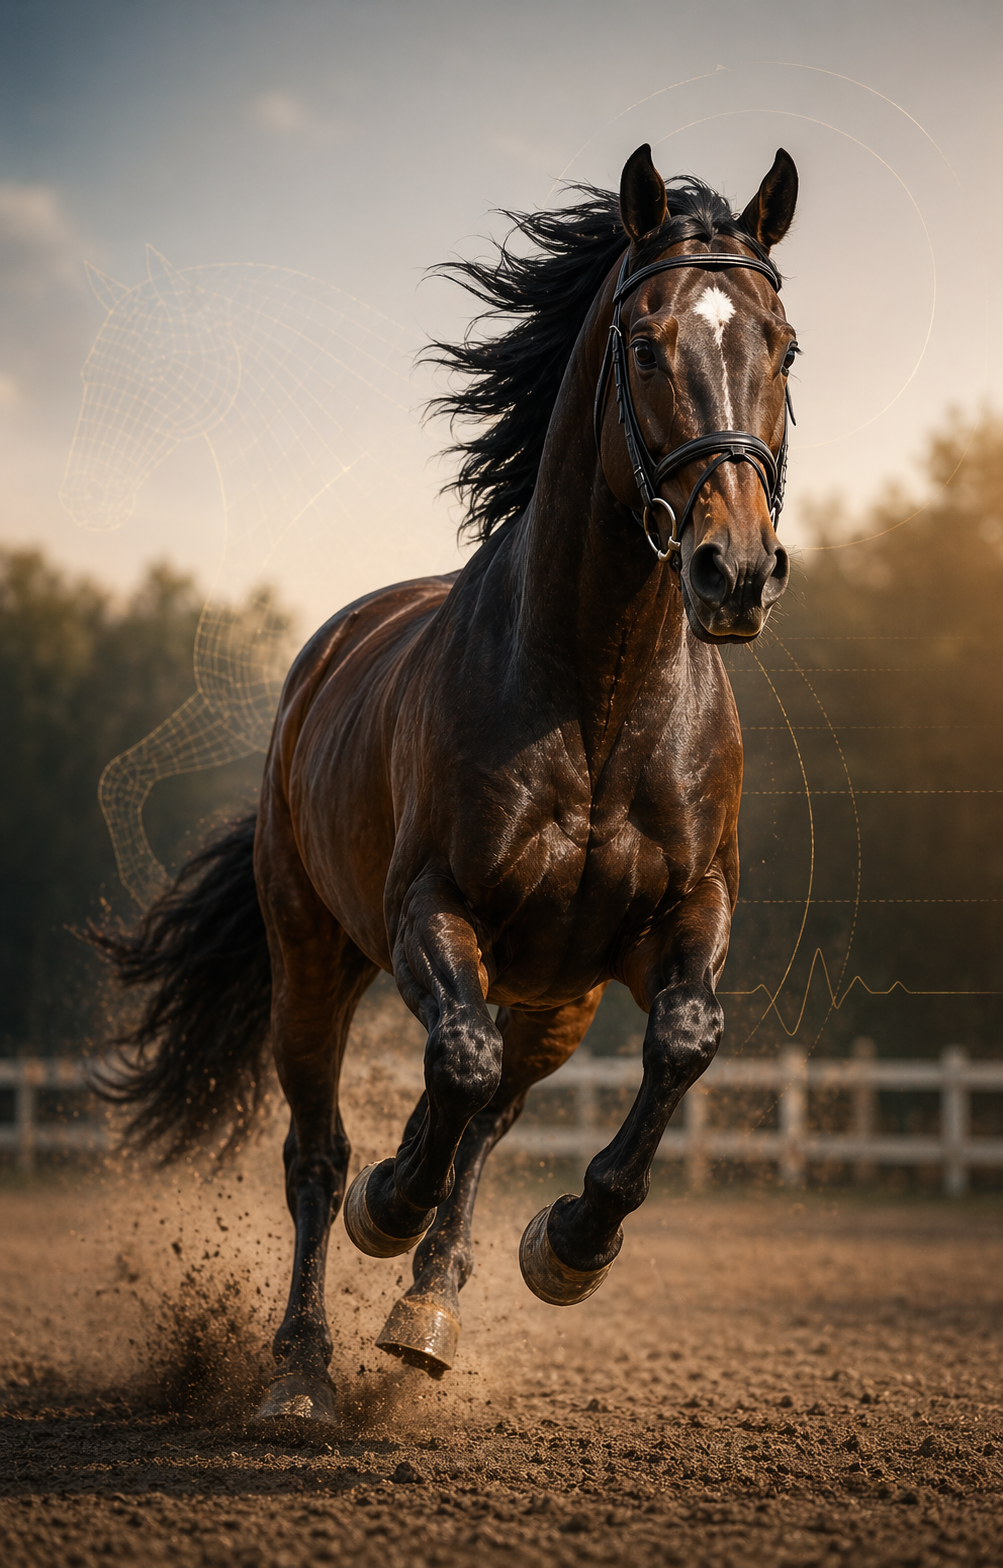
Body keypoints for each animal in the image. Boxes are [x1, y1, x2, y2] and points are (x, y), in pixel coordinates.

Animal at [60, 255, 432, 906]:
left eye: (161, 368)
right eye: (90, 370)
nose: (90, 500)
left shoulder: (236, 708)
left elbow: (122, 777)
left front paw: (148, 883)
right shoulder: (230, 705)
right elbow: (120, 776)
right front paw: (150, 887)